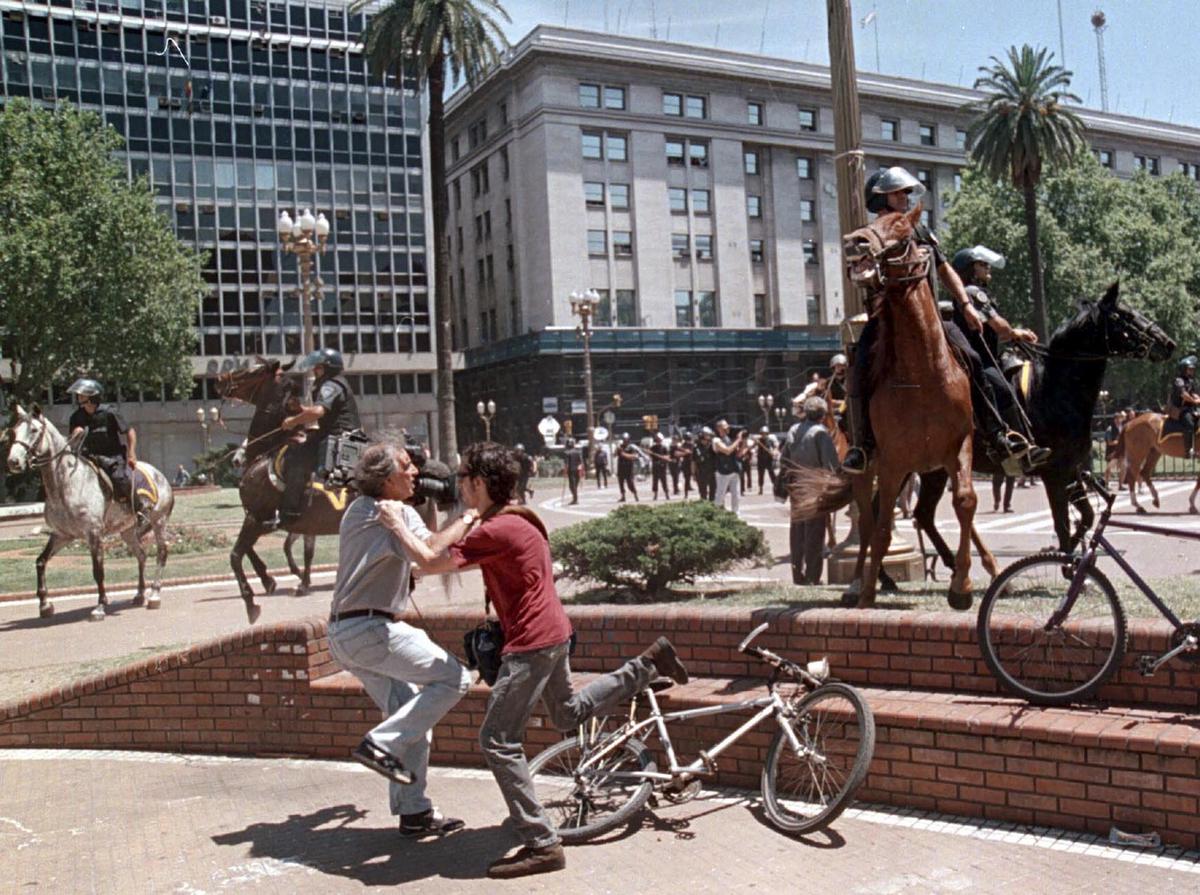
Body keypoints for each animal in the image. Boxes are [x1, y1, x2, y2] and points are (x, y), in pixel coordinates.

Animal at [5, 400, 175, 619]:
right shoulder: (61, 534)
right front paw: (45, 604)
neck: (66, 484)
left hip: (158, 522)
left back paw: (154, 594)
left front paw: (100, 605)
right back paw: (139, 594)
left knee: (162, 552)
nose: (13, 462)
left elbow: (98, 570)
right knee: (141, 555)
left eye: (34, 430)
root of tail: (159, 475)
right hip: (127, 531)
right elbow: (40, 562)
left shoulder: (93, 533)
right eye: (14, 431)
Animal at [787, 202, 993, 607]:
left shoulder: (957, 447)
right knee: (867, 522)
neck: (923, 373)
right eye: (874, 220)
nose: (854, 243)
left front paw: (961, 586)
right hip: (870, 469)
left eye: (900, 229)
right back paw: (856, 584)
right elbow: (881, 527)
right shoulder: (894, 460)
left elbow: (965, 502)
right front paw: (867, 592)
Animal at [916, 281, 1171, 568]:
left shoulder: (1072, 471)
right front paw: (1066, 562)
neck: (1053, 389)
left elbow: (1086, 516)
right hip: (932, 470)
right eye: (1124, 315)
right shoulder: (1054, 474)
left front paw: (1072, 553)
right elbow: (1062, 525)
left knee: (919, 513)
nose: (1168, 343)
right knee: (919, 513)